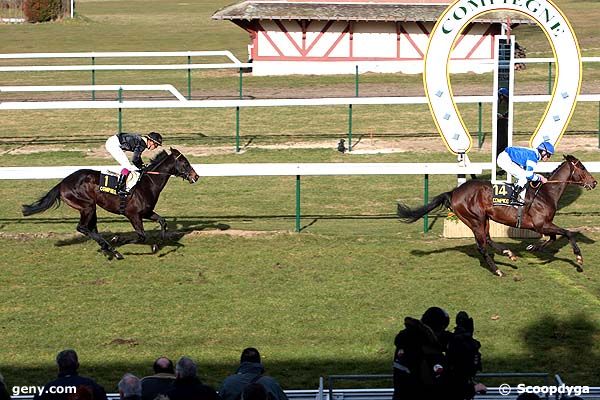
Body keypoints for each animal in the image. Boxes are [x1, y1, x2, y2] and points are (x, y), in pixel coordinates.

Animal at [21, 148, 199, 260]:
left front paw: (159, 242)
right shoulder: (133, 215)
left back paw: (109, 249)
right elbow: (141, 236)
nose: (196, 176)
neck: (148, 183)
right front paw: (117, 239)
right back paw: (112, 248)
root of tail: (62, 183)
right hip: (87, 206)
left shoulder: (146, 212)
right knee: (82, 227)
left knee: (91, 228)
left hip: (91, 208)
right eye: (185, 163)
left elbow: (163, 221)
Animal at [398, 155, 596, 276]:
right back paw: (498, 270)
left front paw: (533, 247)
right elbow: (568, 233)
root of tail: (454, 192)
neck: (546, 192)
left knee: (487, 239)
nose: (594, 182)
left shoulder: (544, 224)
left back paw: (509, 254)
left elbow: (554, 237)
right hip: (475, 219)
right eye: (583, 168)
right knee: (482, 246)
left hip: (483, 218)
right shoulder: (541, 224)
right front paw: (578, 257)